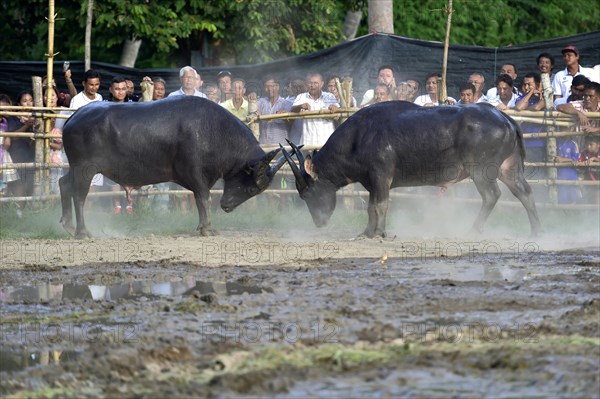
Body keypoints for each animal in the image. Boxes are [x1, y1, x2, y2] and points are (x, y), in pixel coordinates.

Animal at [59, 97, 288, 239]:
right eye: (250, 188)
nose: (227, 207)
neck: (216, 132)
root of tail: (74, 117)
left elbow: (200, 201)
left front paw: (203, 226)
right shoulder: (195, 174)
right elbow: (204, 198)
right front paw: (208, 228)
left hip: (75, 168)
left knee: (64, 184)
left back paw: (68, 225)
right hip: (85, 169)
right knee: (79, 195)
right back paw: (82, 232)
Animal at [284, 101, 540, 238]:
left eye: (307, 192)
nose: (319, 222)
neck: (358, 138)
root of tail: (505, 118)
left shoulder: (381, 176)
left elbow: (380, 205)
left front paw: (380, 232)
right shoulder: (372, 182)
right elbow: (370, 207)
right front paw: (367, 232)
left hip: (481, 171)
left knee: (491, 195)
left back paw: (473, 230)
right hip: (509, 169)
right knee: (525, 193)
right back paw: (535, 231)